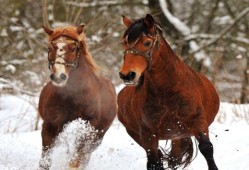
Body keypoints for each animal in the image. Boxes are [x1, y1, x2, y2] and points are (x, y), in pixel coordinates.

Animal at [39, 24, 116, 169]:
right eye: (49, 48)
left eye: (73, 48)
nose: (58, 77)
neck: (73, 96)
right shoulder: (50, 124)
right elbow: (45, 162)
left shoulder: (89, 126)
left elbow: (76, 161)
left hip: (98, 136)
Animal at [117, 14, 219, 170]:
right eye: (124, 43)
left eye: (147, 43)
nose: (127, 75)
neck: (167, 92)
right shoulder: (148, 133)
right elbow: (154, 162)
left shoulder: (198, 121)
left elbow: (207, 148)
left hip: (180, 135)